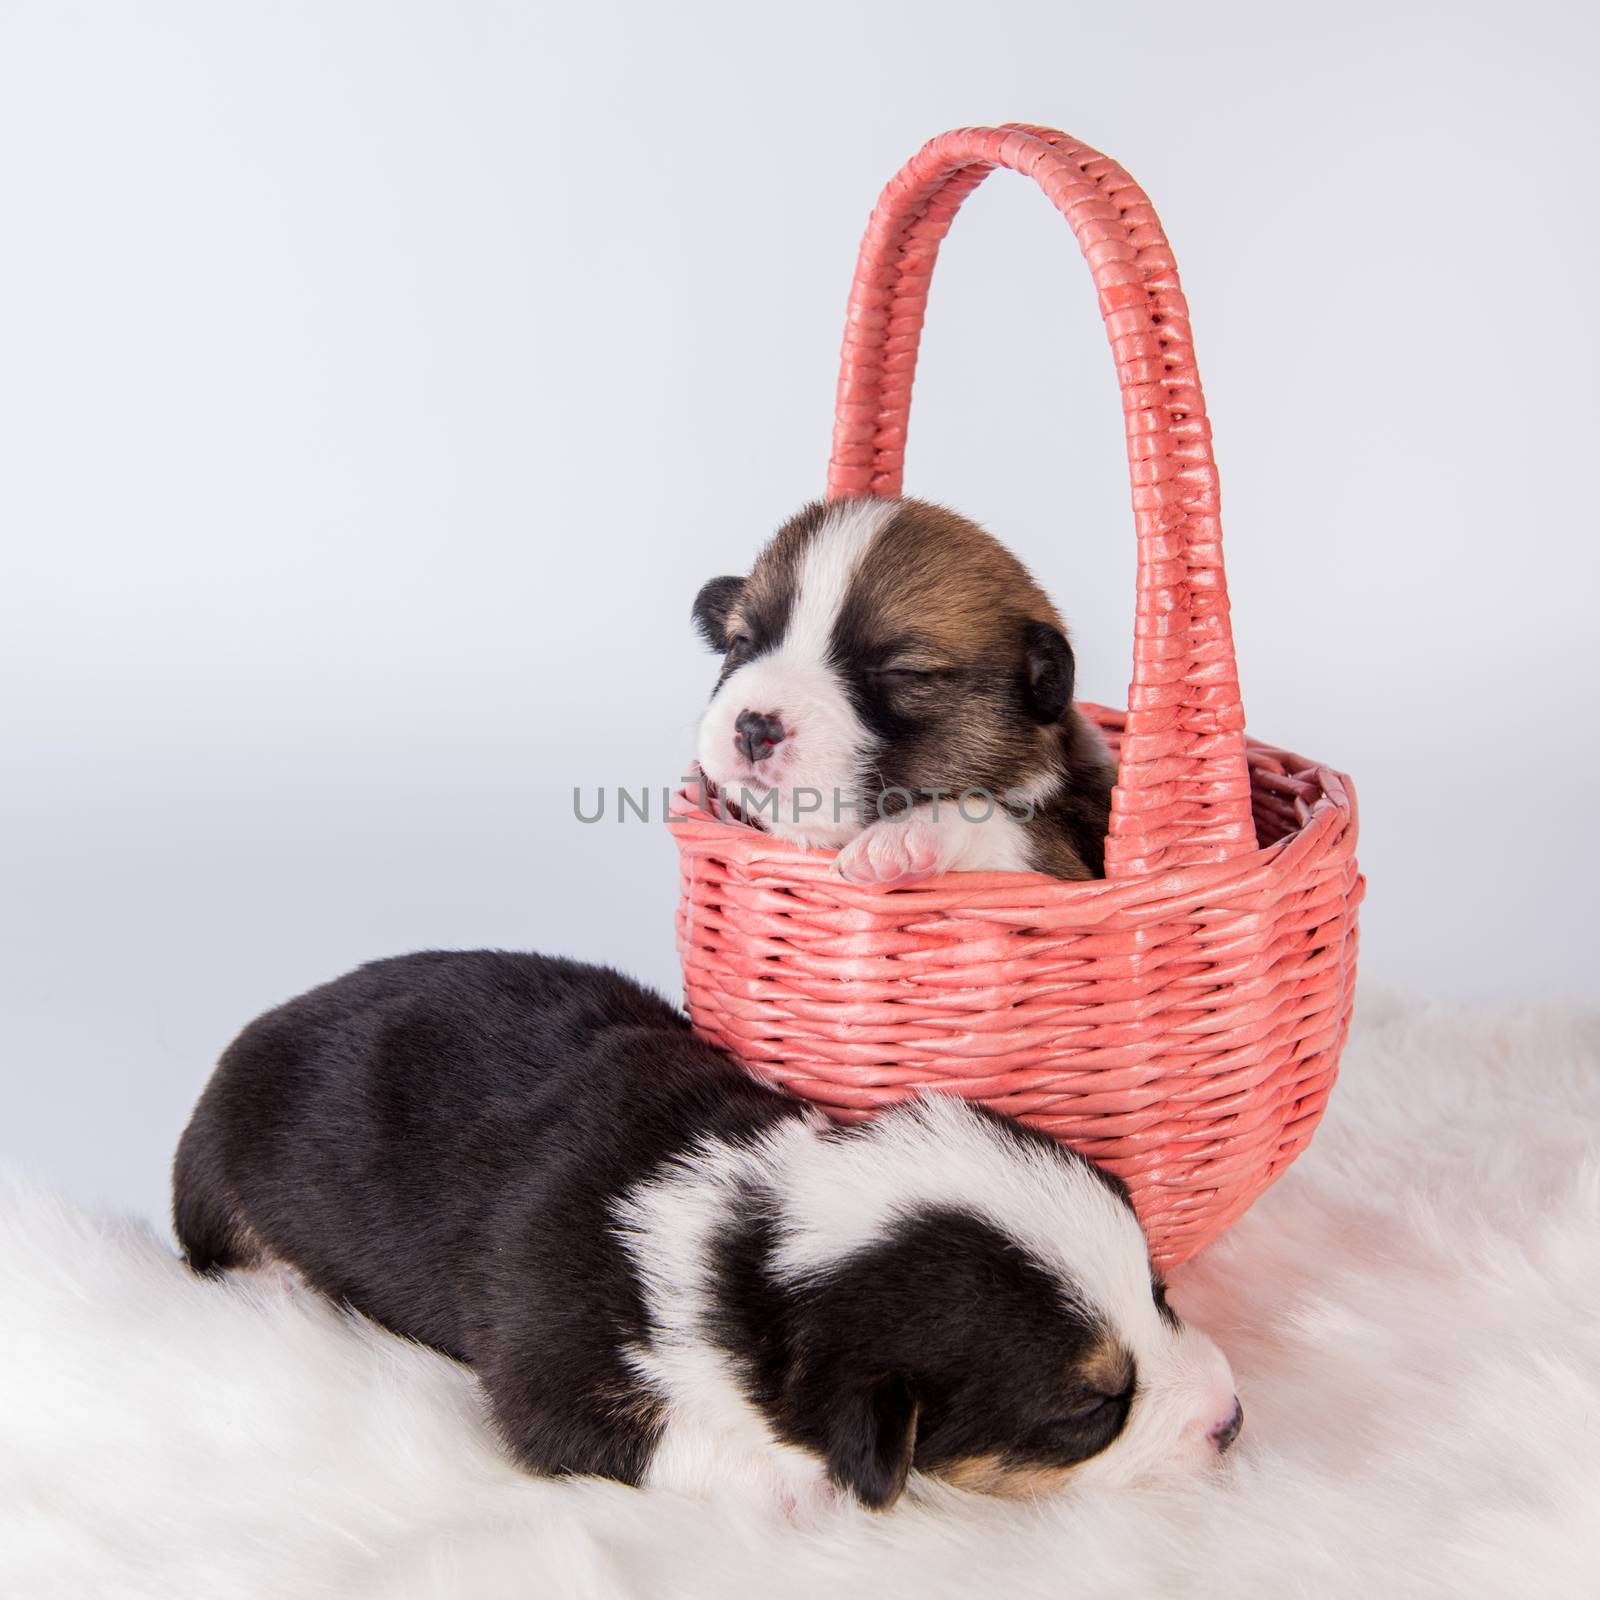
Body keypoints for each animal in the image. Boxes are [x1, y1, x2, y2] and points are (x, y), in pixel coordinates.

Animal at [181, 947, 1241, 1510]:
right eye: (1091, 1410)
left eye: (1161, 1292)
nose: (1234, 1421)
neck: (754, 1240)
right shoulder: (556, 1380)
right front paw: (799, 1483)